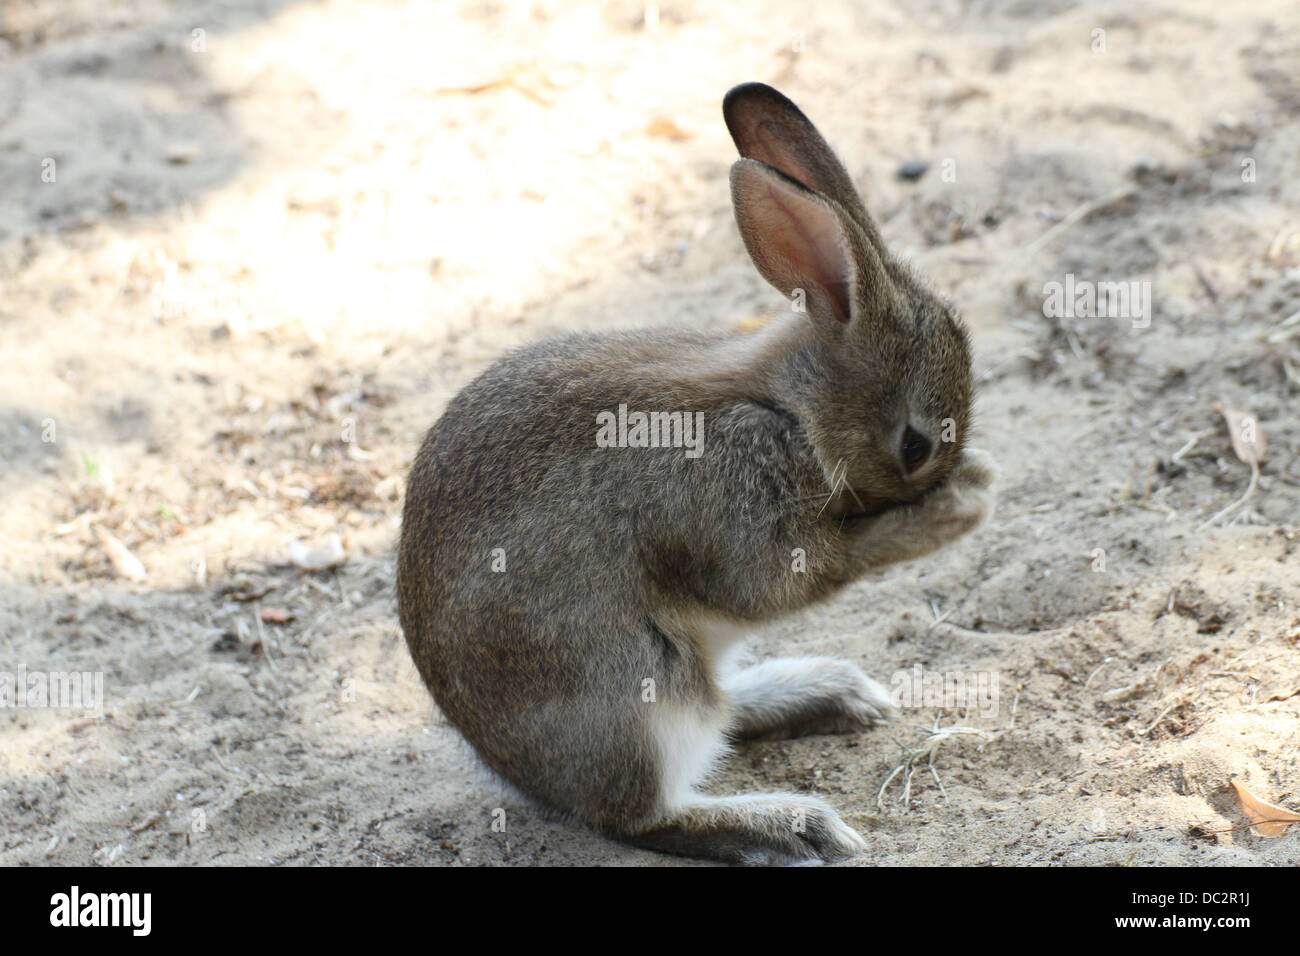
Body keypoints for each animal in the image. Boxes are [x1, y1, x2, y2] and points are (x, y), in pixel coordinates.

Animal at [397, 82, 995, 865]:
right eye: (917, 445)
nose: (951, 476)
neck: (787, 407)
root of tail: (512, 770)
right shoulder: (740, 515)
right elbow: (802, 574)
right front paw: (961, 506)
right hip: (638, 696)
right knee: (645, 814)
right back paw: (794, 823)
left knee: (724, 710)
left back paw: (829, 692)